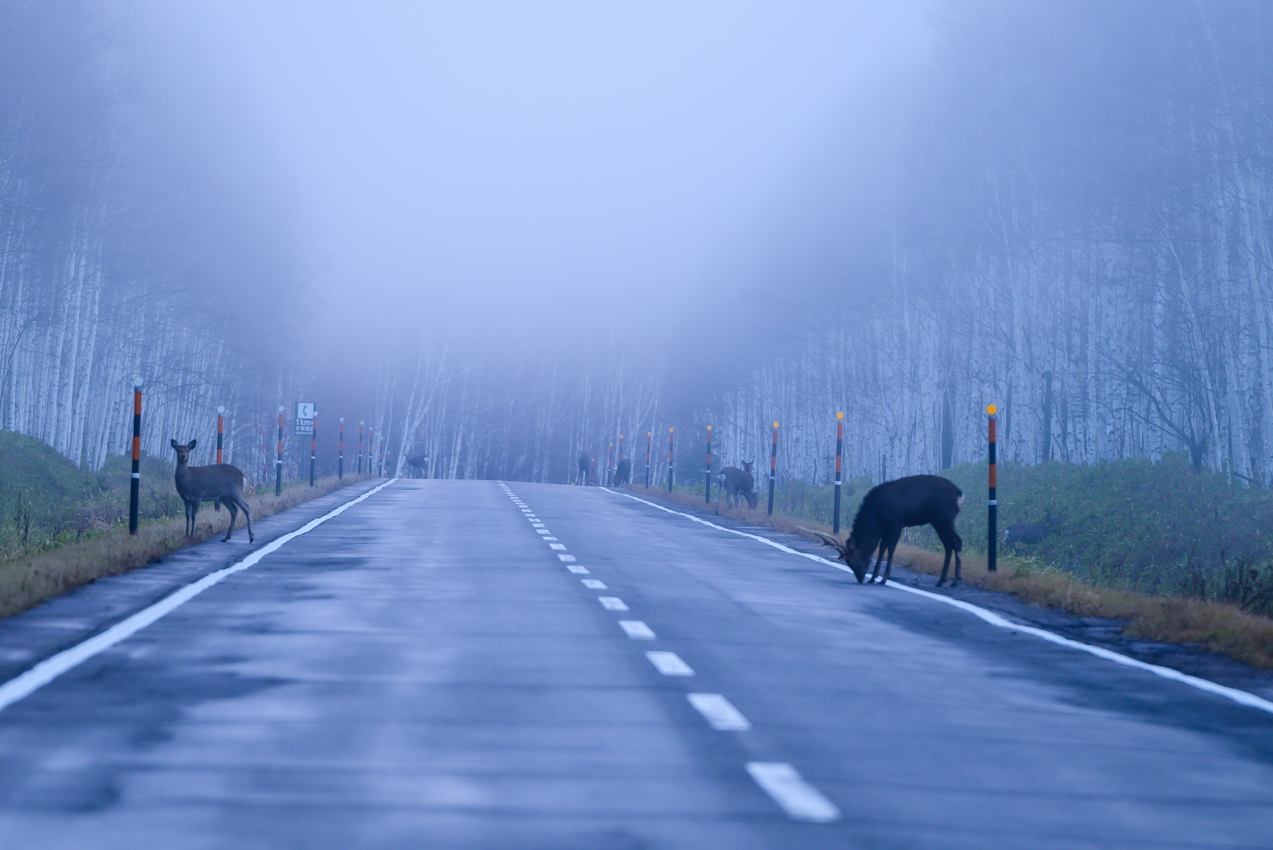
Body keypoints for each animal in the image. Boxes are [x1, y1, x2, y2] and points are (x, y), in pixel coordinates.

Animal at [804, 475, 962, 587]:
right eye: (848, 564)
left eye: (853, 563)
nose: (860, 578)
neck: (875, 517)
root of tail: (960, 495)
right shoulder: (885, 527)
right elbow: (881, 548)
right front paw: (874, 578)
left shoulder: (896, 522)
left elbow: (890, 548)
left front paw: (884, 579)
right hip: (937, 521)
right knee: (948, 545)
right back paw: (941, 580)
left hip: (944, 517)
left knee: (957, 542)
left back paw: (955, 581)